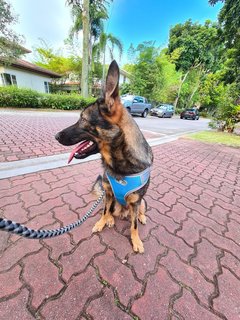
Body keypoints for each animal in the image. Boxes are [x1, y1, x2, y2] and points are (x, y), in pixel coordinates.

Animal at [55, 60, 153, 252]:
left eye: (82, 119)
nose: (56, 136)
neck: (120, 163)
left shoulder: (136, 201)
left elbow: (134, 225)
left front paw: (136, 240)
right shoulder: (108, 193)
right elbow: (104, 210)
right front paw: (101, 222)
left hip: (143, 202)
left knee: (137, 214)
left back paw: (141, 217)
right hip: (111, 199)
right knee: (110, 211)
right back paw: (109, 220)